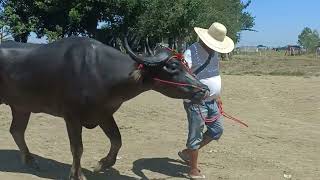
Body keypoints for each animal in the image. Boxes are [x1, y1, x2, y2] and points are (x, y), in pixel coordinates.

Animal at [0, 37, 209, 179]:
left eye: (185, 65)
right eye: (172, 66)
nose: (204, 90)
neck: (100, 71)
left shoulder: (104, 114)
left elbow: (117, 140)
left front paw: (101, 165)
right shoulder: (72, 116)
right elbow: (77, 148)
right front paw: (77, 175)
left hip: (21, 106)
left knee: (16, 130)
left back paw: (30, 160)